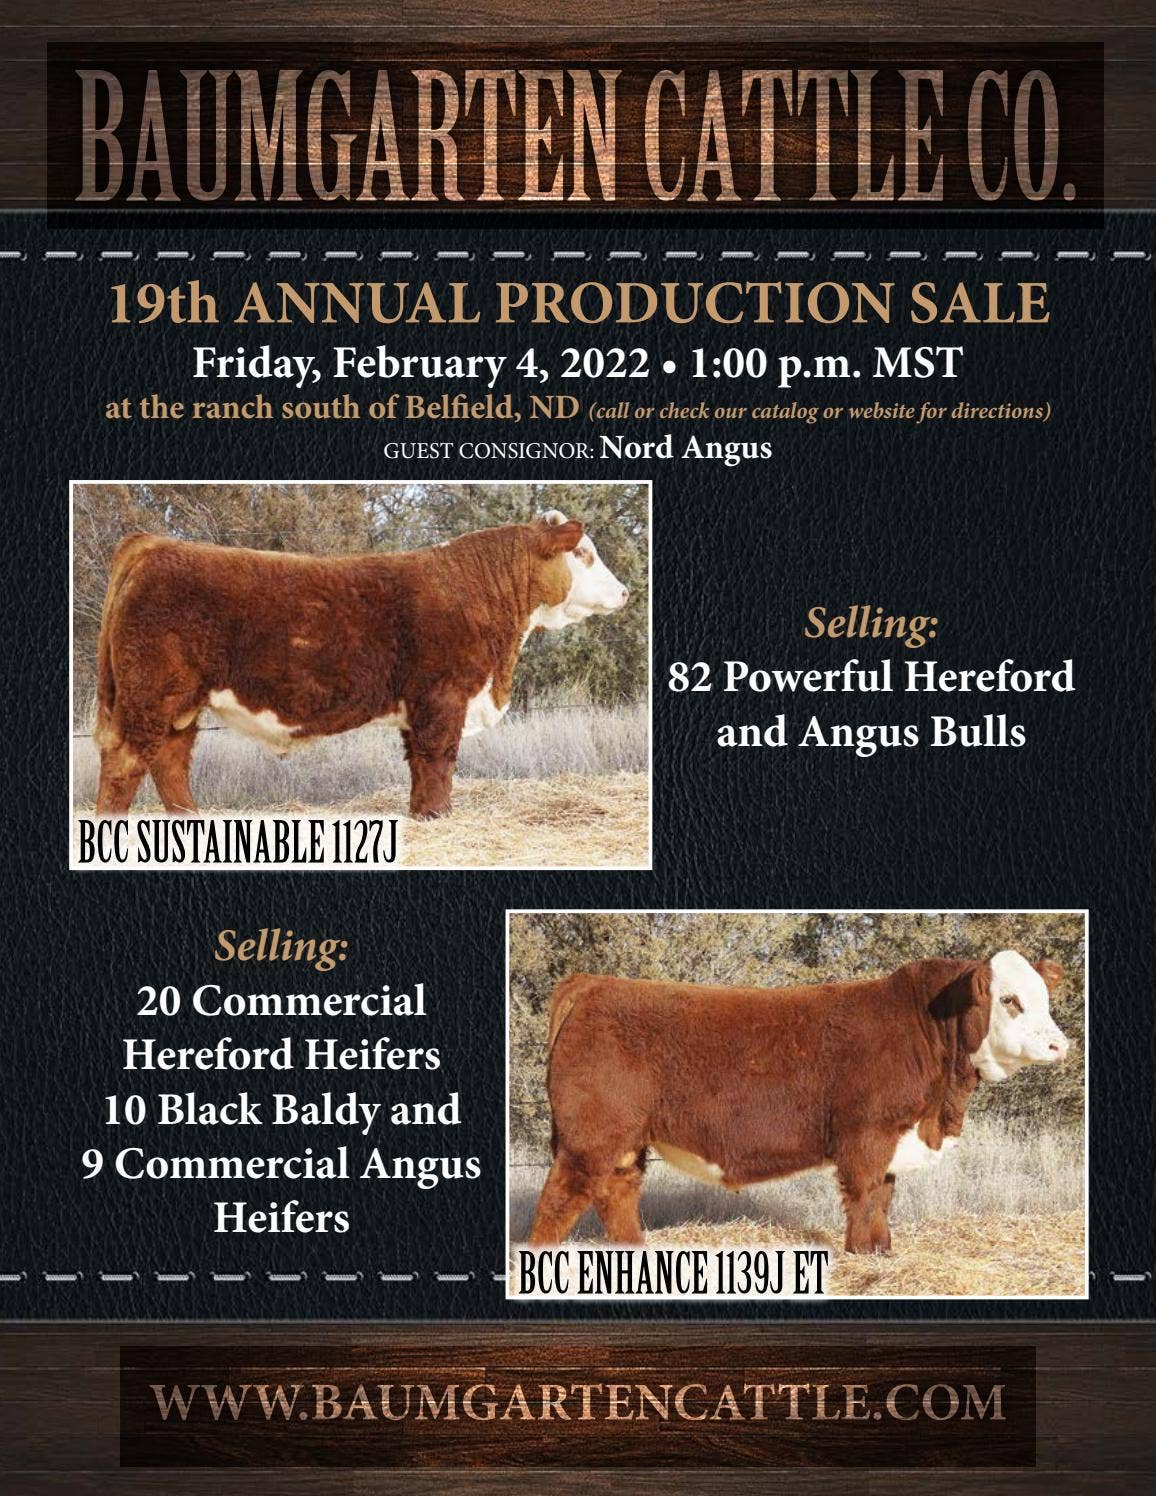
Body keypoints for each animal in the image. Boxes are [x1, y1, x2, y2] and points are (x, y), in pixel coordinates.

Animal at [93, 510, 629, 819]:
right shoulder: (443, 695)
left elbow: (418, 763)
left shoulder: (420, 704)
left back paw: (192, 819)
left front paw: (421, 814)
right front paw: (439, 815)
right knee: (126, 759)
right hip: (151, 693)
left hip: (181, 702)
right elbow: (439, 758)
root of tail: (154, 545)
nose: (624, 592)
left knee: (170, 759)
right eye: (584, 553)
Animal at [529, 951, 1071, 1255]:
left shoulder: (893, 1137)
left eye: (1044, 999)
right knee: (559, 1201)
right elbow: (867, 1195)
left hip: (623, 1140)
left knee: (617, 1193)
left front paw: (883, 1251)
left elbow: (885, 1196)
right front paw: (864, 1253)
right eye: (1010, 1001)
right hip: (590, 1136)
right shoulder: (867, 1134)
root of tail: (593, 983)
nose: (1058, 1045)